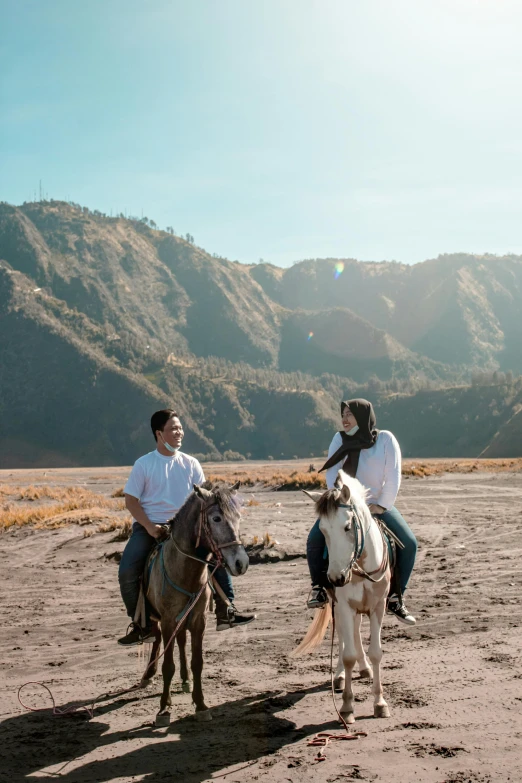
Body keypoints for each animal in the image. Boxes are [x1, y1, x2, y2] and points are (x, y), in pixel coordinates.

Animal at [139, 480, 247, 724]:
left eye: (238, 517)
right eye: (216, 518)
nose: (241, 563)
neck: (184, 572)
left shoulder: (198, 620)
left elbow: (198, 662)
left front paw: (200, 704)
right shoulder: (168, 620)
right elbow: (167, 665)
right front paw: (164, 708)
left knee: (180, 642)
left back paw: (185, 679)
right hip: (155, 618)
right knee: (156, 639)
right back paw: (148, 675)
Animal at [292, 472, 390, 724]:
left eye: (347, 526)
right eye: (323, 530)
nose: (336, 577)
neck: (360, 566)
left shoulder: (378, 606)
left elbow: (376, 653)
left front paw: (380, 703)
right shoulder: (344, 606)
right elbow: (348, 655)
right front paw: (347, 707)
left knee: (355, 632)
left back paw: (364, 669)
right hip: (338, 606)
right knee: (346, 638)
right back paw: (338, 676)